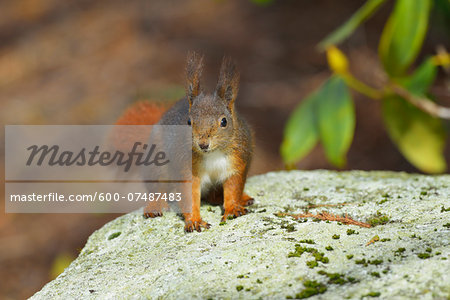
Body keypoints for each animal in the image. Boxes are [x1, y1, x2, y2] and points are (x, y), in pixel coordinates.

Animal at [117, 52, 253, 232]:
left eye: (224, 121)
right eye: (188, 121)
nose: (203, 144)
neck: (213, 154)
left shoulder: (237, 162)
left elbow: (233, 188)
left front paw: (232, 208)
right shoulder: (187, 169)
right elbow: (189, 194)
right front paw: (194, 220)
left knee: (214, 195)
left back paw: (242, 198)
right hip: (157, 165)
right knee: (157, 188)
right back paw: (155, 205)